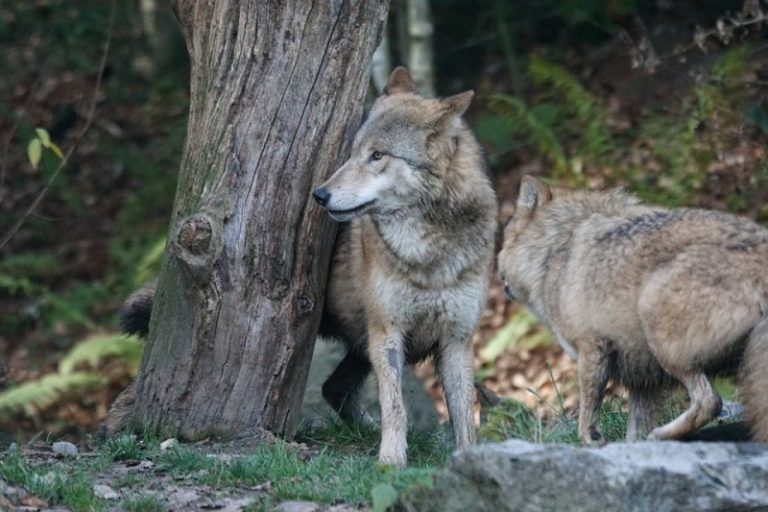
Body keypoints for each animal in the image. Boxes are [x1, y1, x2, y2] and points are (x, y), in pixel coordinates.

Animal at [311, 67, 497, 466]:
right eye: (352, 154)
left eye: (377, 155)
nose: (319, 194)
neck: (431, 254)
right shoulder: (387, 334)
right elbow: (395, 406)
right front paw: (391, 463)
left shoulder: (457, 339)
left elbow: (464, 413)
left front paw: (468, 460)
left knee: (333, 388)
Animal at [497, 175, 768, 444]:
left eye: (505, 238)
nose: (499, 275)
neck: (556, 247)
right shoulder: (643, 381)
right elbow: (633, 434)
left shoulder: (592, 347)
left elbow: (586, 417)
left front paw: (592, 440)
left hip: (658, 328)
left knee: (710, 401)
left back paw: (660, 435)